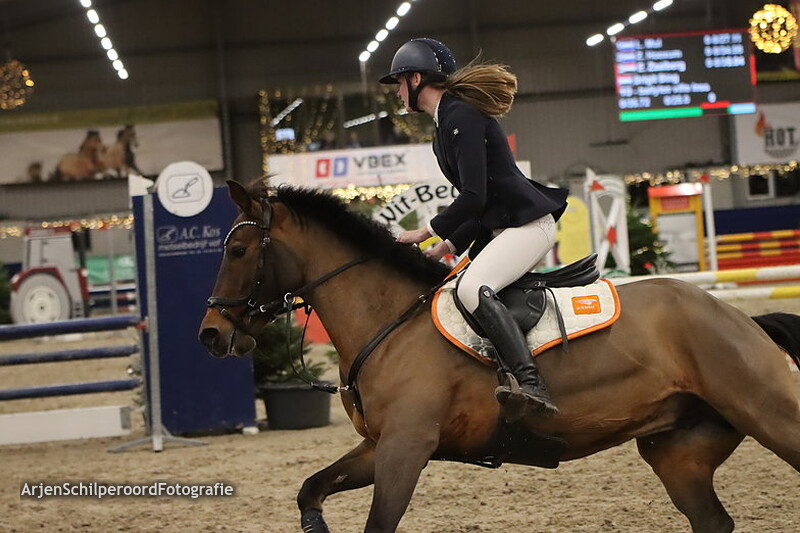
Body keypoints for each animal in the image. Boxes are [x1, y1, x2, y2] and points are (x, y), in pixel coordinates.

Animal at [198, 179, 800, 533]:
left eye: (238, 250)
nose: (210, 335)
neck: (387, 321)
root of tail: (740, 319)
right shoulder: (380, 446)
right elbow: (311, 488)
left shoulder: (405, 449)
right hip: (678, 454)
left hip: (770, 414)